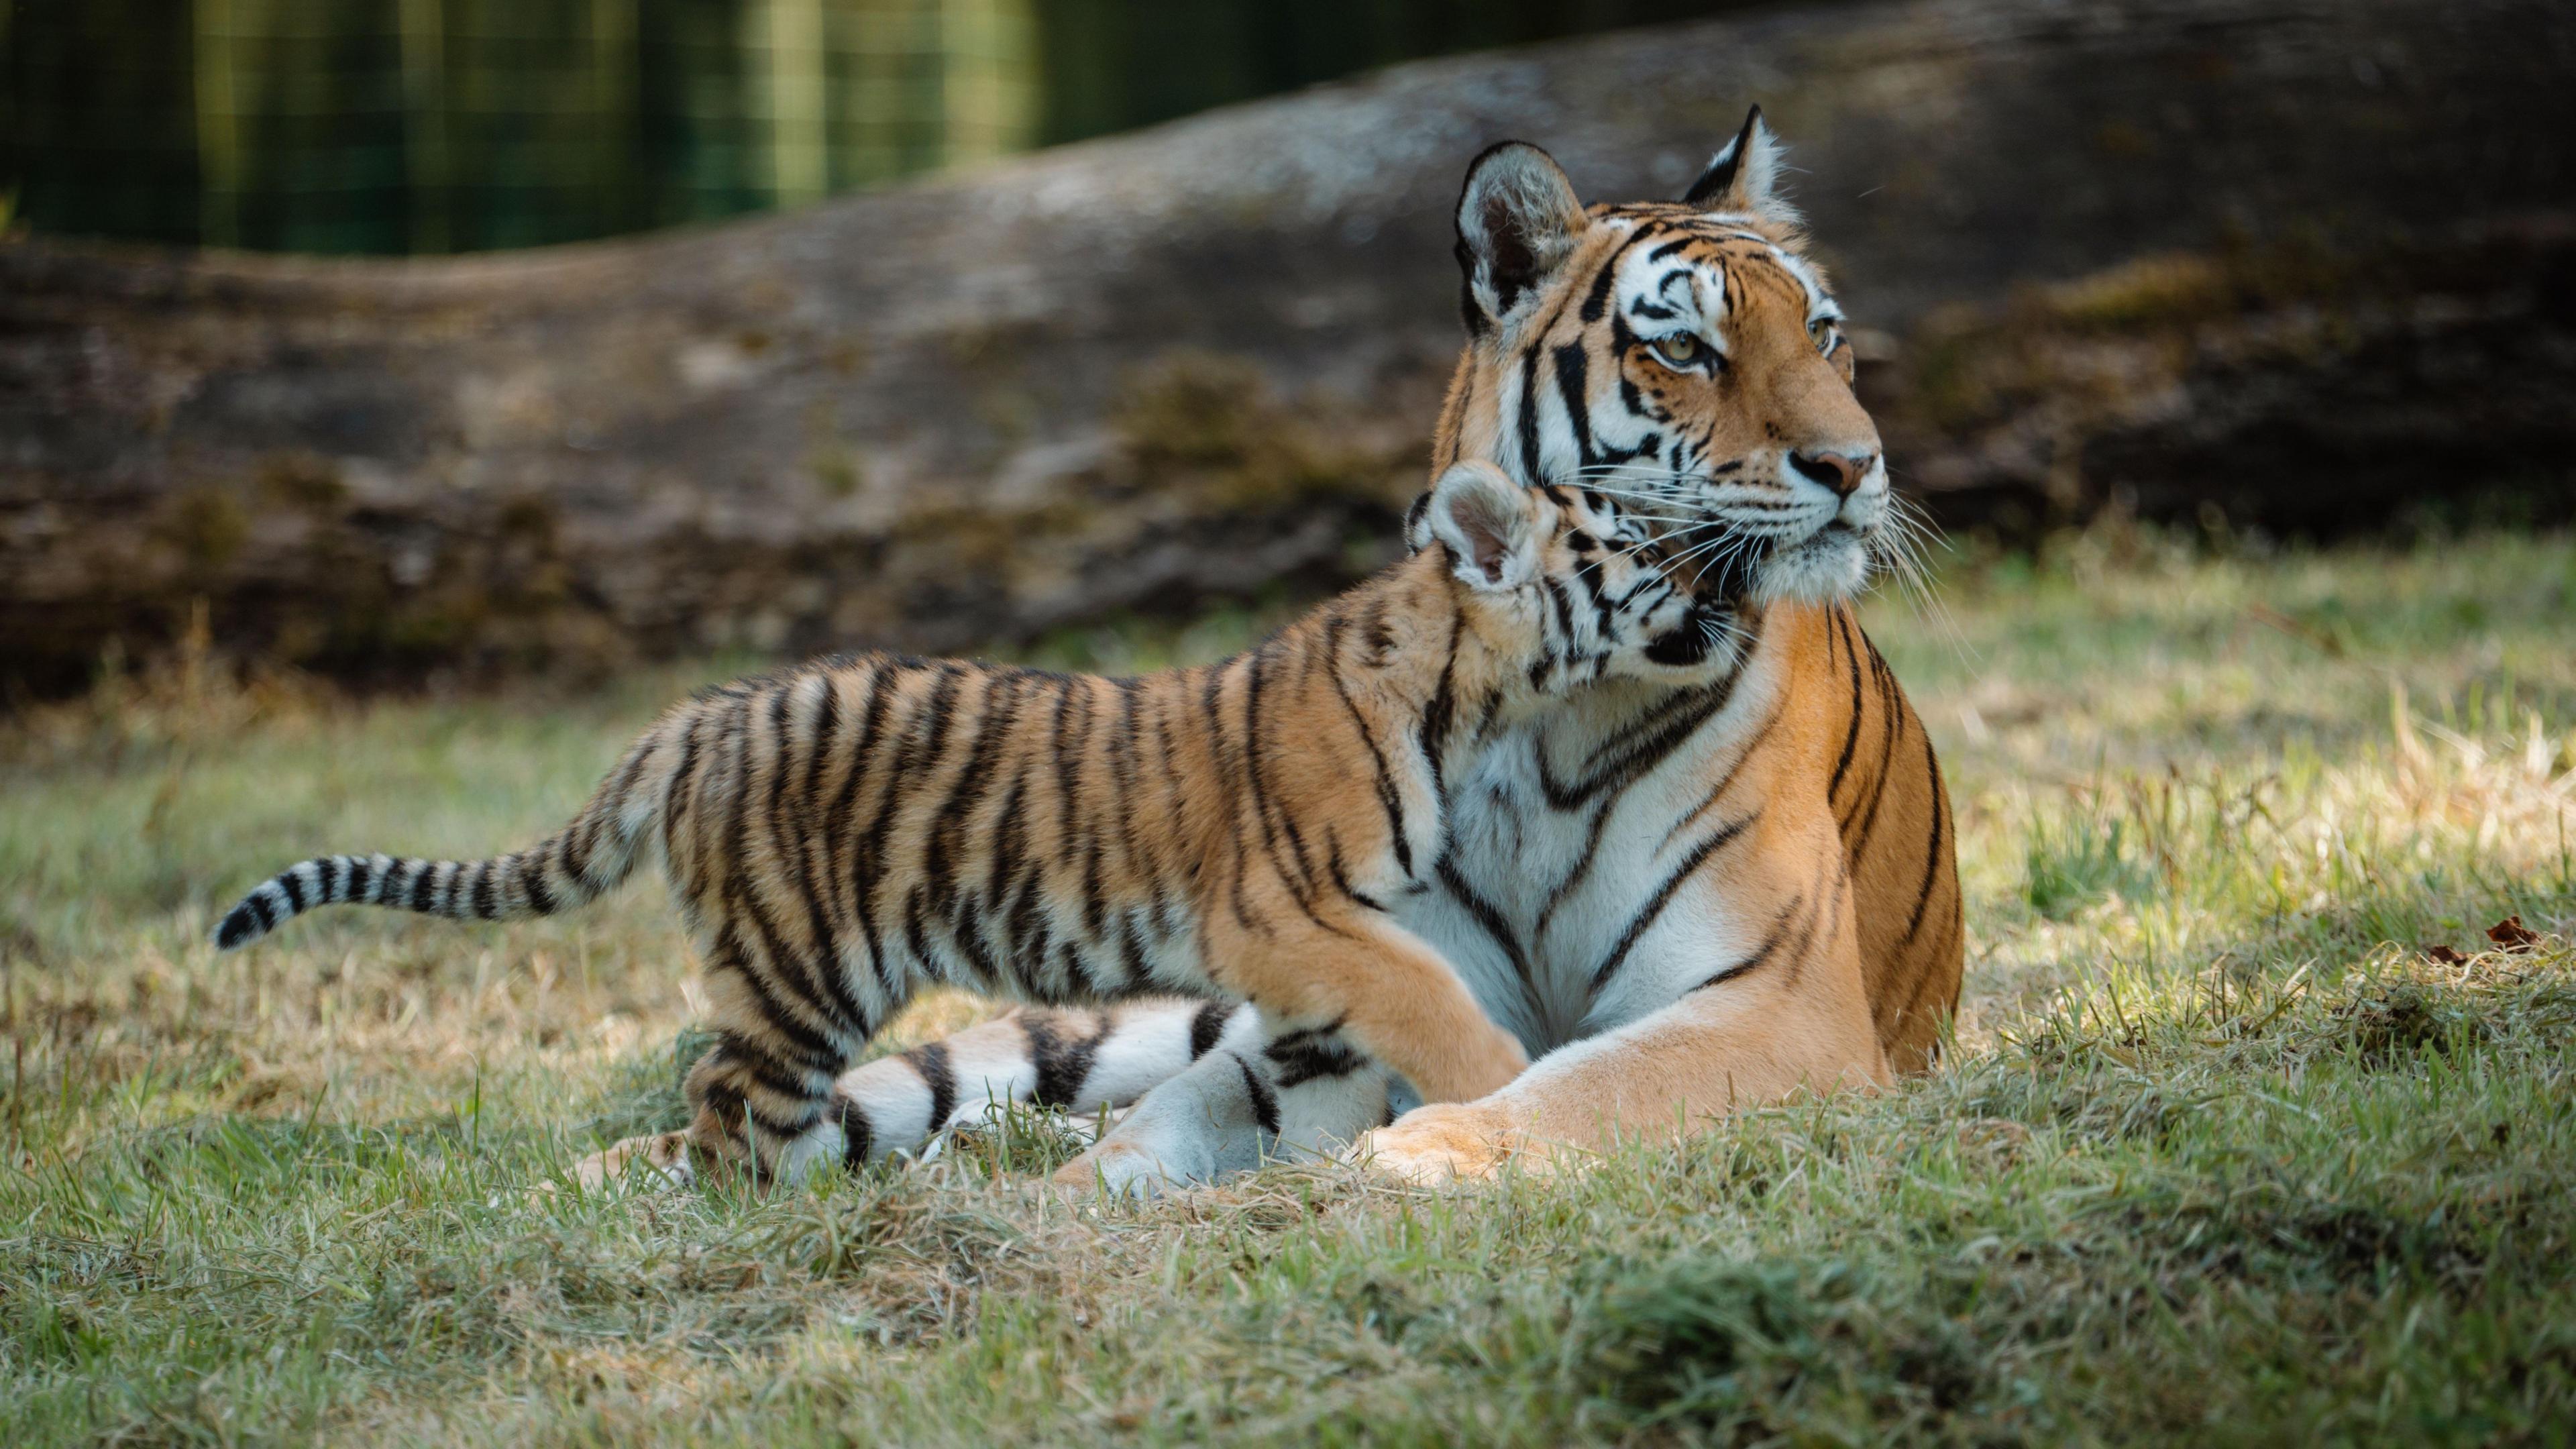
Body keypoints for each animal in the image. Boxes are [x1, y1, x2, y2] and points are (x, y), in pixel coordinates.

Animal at [580, 110, 1947, 1185]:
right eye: (1683, 349)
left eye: (1827, 334)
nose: (1856, 467)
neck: (1549, 717)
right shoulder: (1329, 966)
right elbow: (1175, 1125)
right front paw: (1073, 1209)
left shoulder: (1782, 1006)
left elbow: (1584, 1083)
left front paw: (1433, 1150)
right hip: (1122, 1016)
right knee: (879, 1087)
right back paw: (622, 1173)